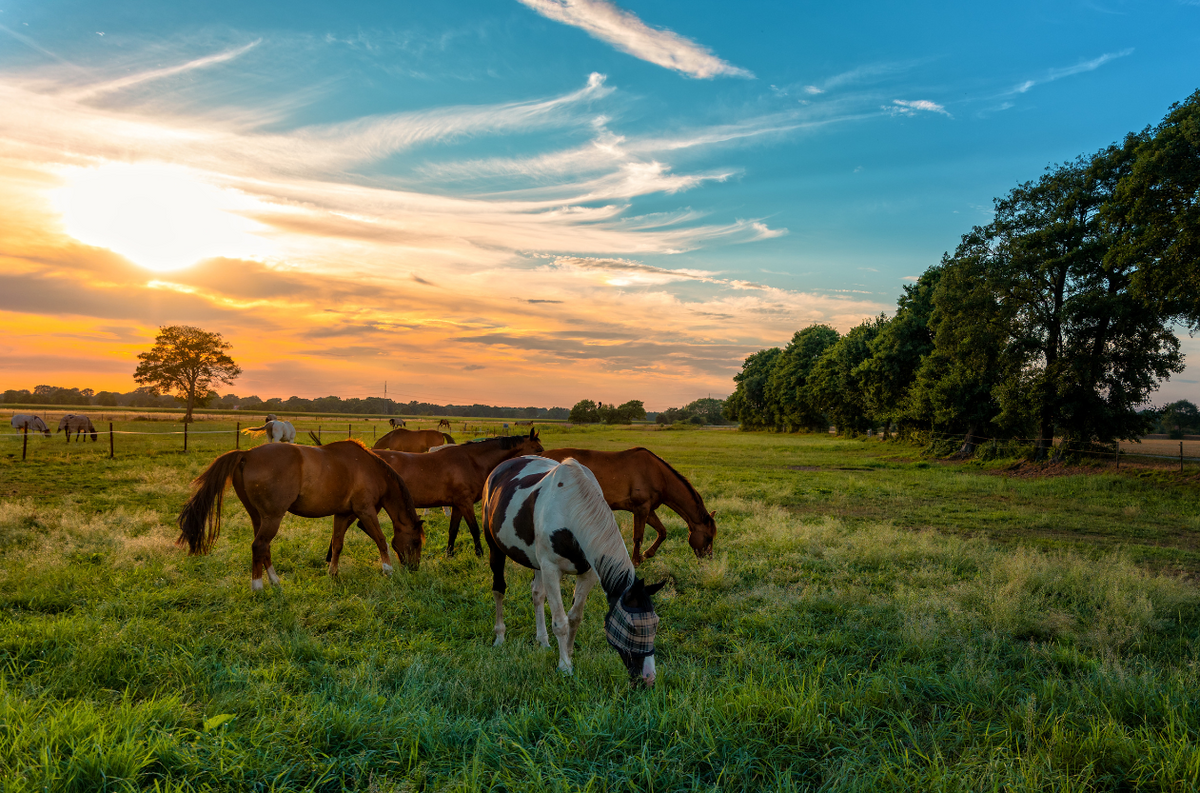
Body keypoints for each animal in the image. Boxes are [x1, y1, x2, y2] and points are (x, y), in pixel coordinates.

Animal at [177, 440, 424, 591]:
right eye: (415, 542)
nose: (414, 569)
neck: (369, 467)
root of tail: (247, 454)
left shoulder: (342, 514)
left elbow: (337, 544)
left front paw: (333, 573)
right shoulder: (365, 511)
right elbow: (381, 540)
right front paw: (388, 571)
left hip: (259, 518)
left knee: (263, 548)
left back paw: (275, 582)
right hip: (273, 517)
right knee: (259, 546)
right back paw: (258, 586)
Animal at [350, 428, 543, 557]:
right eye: (538, 450)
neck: (472, 461)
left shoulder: (457, 505)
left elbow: (453, 530)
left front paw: (449, 553)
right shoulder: (465, 504)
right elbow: (474, 529)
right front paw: (479, 553)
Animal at [483, 455, 665, 686]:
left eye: (655, 624)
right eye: (632, 627)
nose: (649, 678)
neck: (570, 508)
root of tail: (500, 468)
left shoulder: (588, 573)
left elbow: (574, 617)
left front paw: (568, 654)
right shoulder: (551, 570)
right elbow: (560, 622)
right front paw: (565, 666)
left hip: (537, 562)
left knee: (537, 594)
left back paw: (543, 641)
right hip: (495, 548)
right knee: (499, 589)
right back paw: (500, 637)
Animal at [541, 447, 716, 564]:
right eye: (708, 537)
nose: (708, 560)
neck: (658, 474)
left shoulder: (648, 510)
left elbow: (662, 532)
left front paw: (646, 555)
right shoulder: (641, 509)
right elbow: (638, 537)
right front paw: (635, 561)